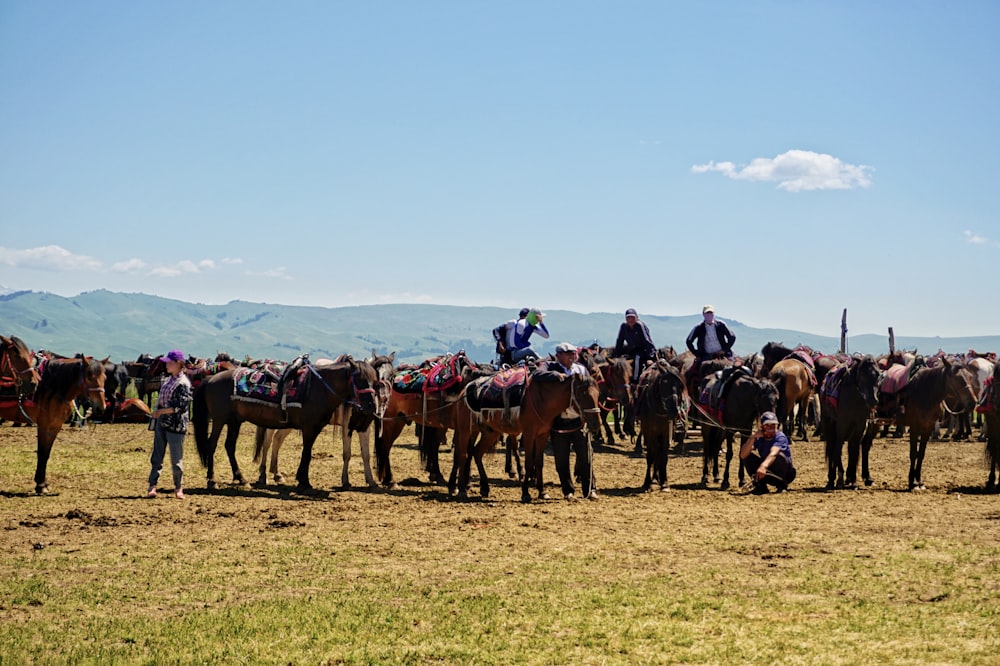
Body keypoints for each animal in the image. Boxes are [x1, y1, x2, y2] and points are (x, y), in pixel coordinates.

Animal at [33, 352, 108, 492]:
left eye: (104, 378)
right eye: (89, 376)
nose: (101, 408)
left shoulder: (55, 426)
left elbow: (46, 453)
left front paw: (43, 483)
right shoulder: (43, 425)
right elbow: (41, 453)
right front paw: (40, 485)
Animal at [192, 356, 378, 490]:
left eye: (374, 380)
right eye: (360, 379)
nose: (371, 406)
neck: (319, 388)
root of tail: (211, 379)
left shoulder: (317, 428)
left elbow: (307, 452)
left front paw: (303, 480)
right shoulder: (310, 428)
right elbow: (307, 453)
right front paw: (304, 481)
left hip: (234, 421)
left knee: (229, 446)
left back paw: (242, 479)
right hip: (219, 420)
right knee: (212, 444)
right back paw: (212, 480)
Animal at [632, 360, 688, 490]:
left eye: (680, 385)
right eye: (664, 383)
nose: (674, 410)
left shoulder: (666, 433)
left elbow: (663, 457)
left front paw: (664, 482)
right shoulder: (649, 433)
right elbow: (651, 456)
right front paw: (647, 482)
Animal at [820, 352, 884, 488]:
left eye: (878, 374)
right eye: (862, 375)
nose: (873, 400)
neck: (854, 398)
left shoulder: (860, 425)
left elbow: (854, 450)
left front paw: (853, 479)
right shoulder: (842, 424)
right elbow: (838, 448)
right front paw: (837, 477)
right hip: (829, 423)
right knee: (833, 445)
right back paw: (832, 478)